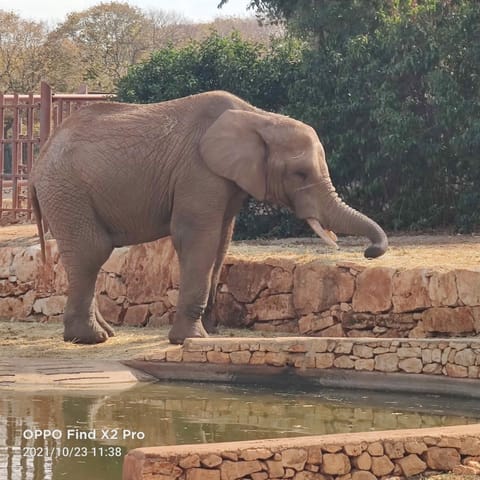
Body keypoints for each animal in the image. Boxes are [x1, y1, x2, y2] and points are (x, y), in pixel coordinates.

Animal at [30, 90, 388, 344]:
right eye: (300, 174)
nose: (370, 251)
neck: (259, 117)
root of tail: (41, 154)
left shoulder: (229, 180)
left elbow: (221, 242)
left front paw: (210, 334)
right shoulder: (199, 172)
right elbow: (197, 237)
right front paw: (190, 340)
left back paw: (104, 334)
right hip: (67, 191)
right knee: (92, 252)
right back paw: (89, 339)